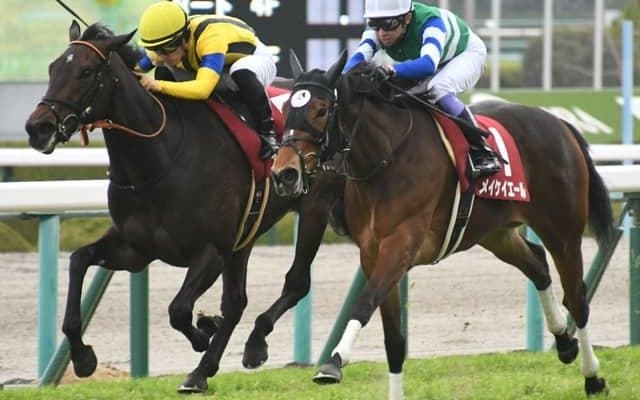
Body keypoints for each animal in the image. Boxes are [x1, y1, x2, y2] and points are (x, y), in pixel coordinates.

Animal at [24, 21, 344, 393]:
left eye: (87, 71)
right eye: (52, 68)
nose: (37, 127)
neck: (159, 160)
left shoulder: (211, 251)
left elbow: (178, 310)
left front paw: (204, 333)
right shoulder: (135, 248)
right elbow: (78, 260)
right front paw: (83, 357)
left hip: (313, 208)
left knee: (294, 284)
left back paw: (248, 347)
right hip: (246, 233)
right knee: (237, 301)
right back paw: (205, 368)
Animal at [270, 51, 617, 399]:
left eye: (321, 110)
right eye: (285, 109)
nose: (283, 173)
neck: (387, 157)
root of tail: (561, 124)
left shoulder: (402, 244)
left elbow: (363, 302)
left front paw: (333, 362)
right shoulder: (372, 253)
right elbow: (394, 341)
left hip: (563, 231)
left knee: (577, 298)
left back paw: (593, 378)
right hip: (496, 233)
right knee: (538, 264)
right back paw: (565, 344)